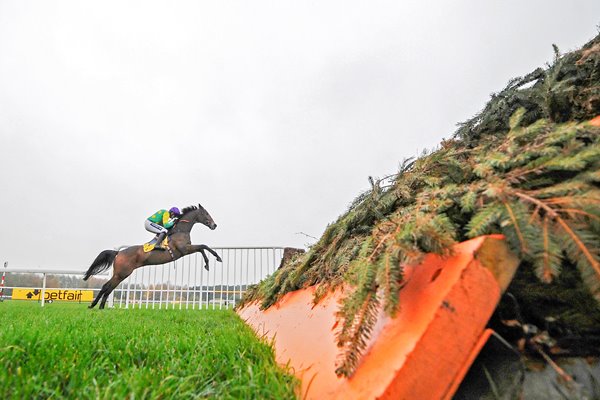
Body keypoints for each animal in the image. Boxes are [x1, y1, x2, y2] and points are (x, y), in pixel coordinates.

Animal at [84, 203, 223, 310]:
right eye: (206, 214)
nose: (214, 225)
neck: (180, 231)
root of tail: (119, 253)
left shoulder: (187, 249)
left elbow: (202, 248)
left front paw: (208, 263)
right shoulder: (184, 249)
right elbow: (203, 246)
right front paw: (216, 258)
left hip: (120, 274)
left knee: (107, 287)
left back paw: (98, 306)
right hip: (122, 273)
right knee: (107, 287)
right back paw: (95, 305)